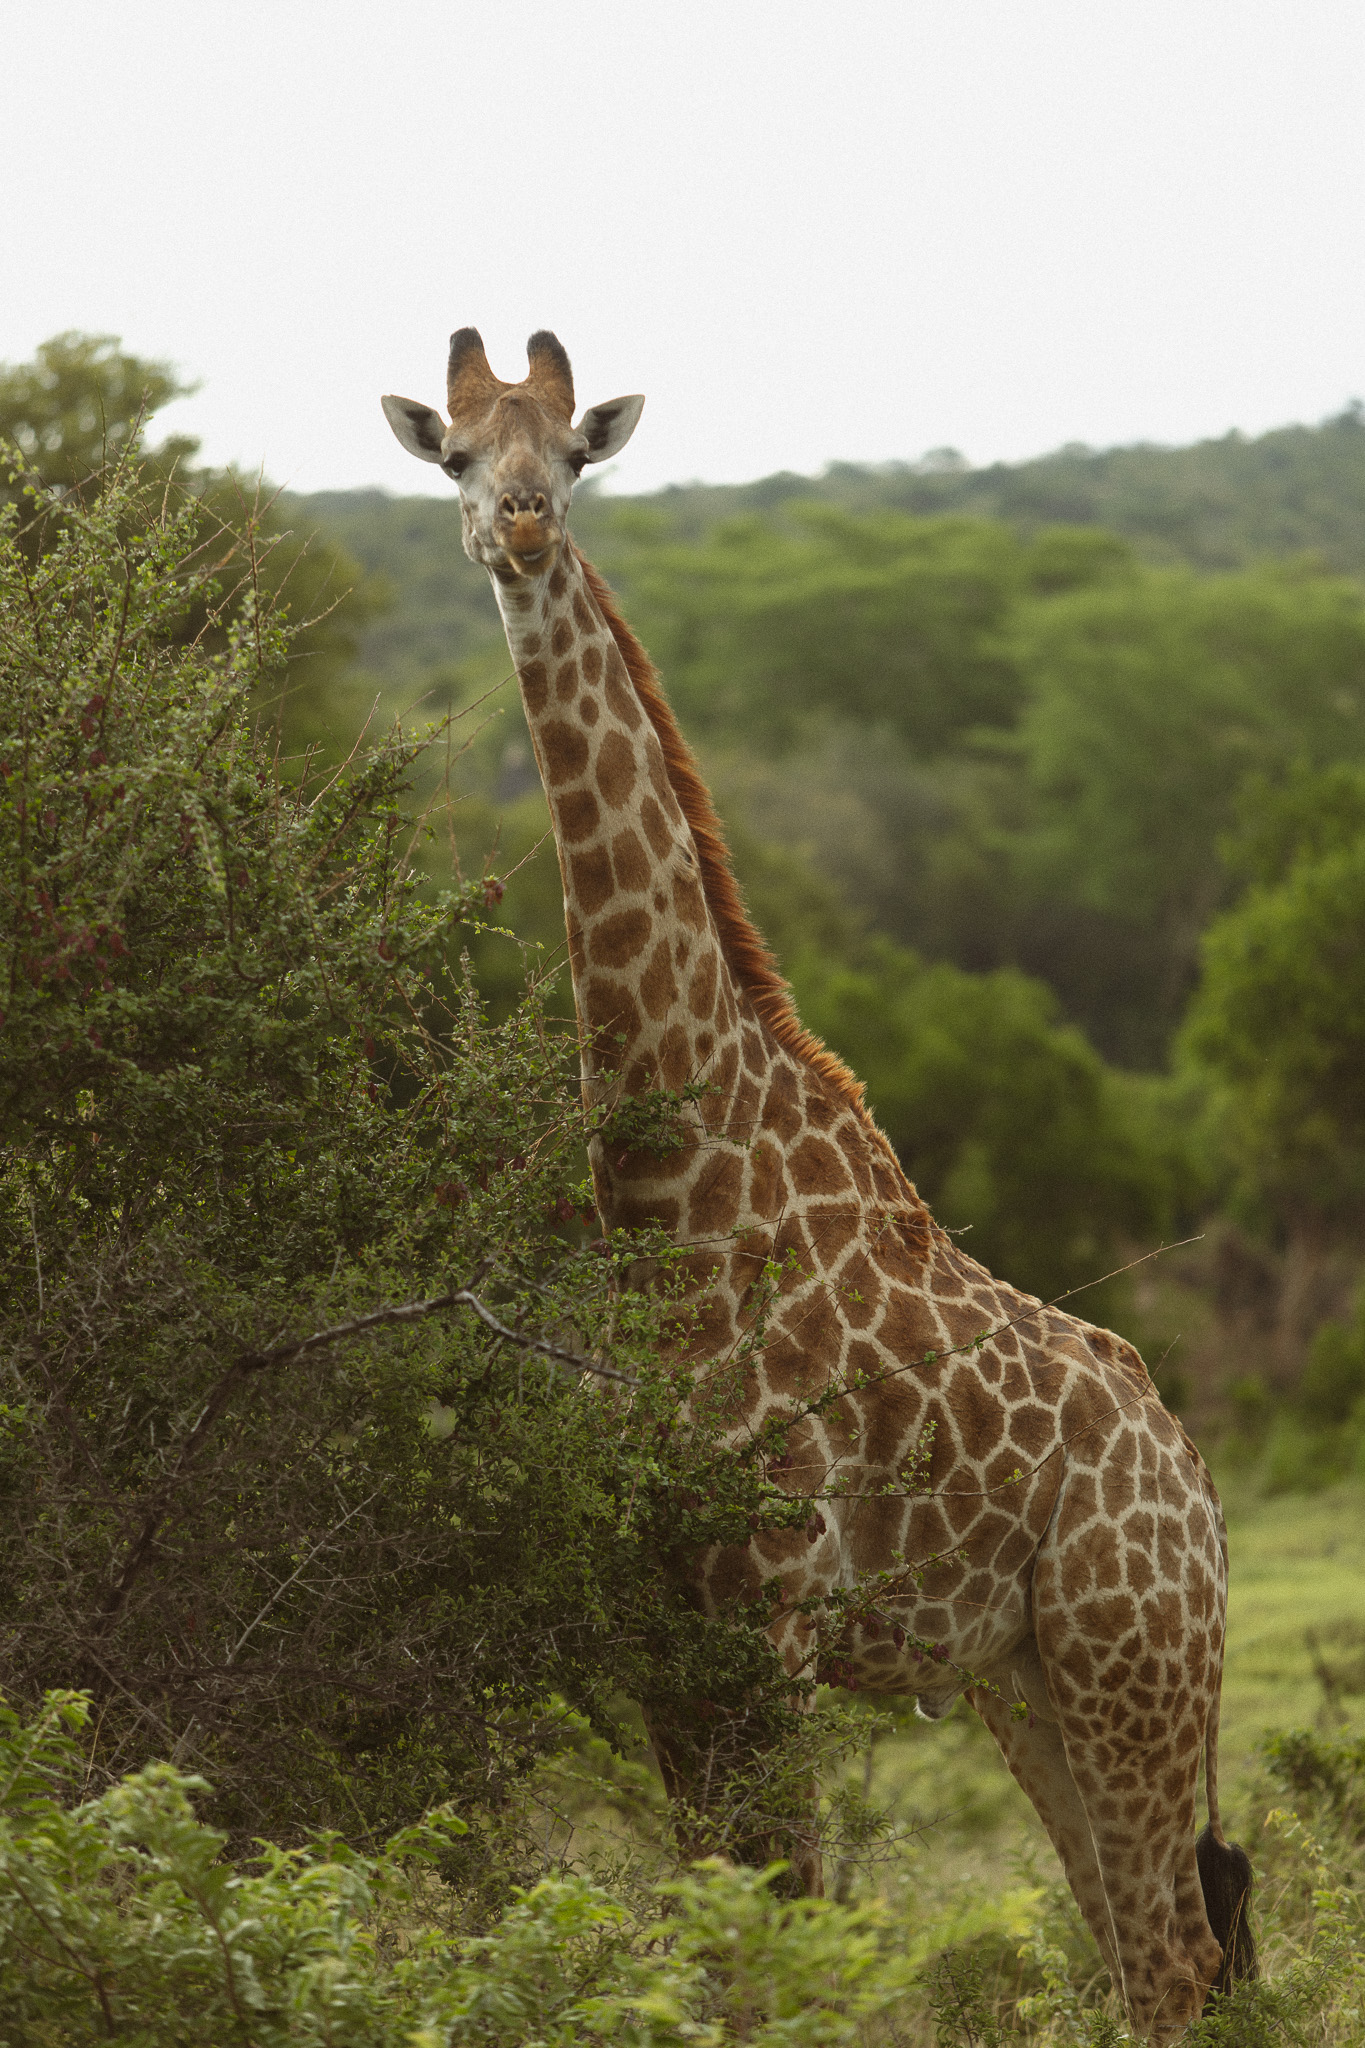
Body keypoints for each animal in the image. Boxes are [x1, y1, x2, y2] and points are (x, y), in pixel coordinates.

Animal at [381, 330, 1255, 2041]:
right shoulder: (663, 1628)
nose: (517, 529)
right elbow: (723, 1951)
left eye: (568, 456)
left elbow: (778, 1953)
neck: (670, 1194)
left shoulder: (770, 1618)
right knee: (1139, 1951)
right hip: (1023, 1674)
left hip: (1133, 1658)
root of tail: (1195, 1487)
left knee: (1172, 1957)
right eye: (452, 454)